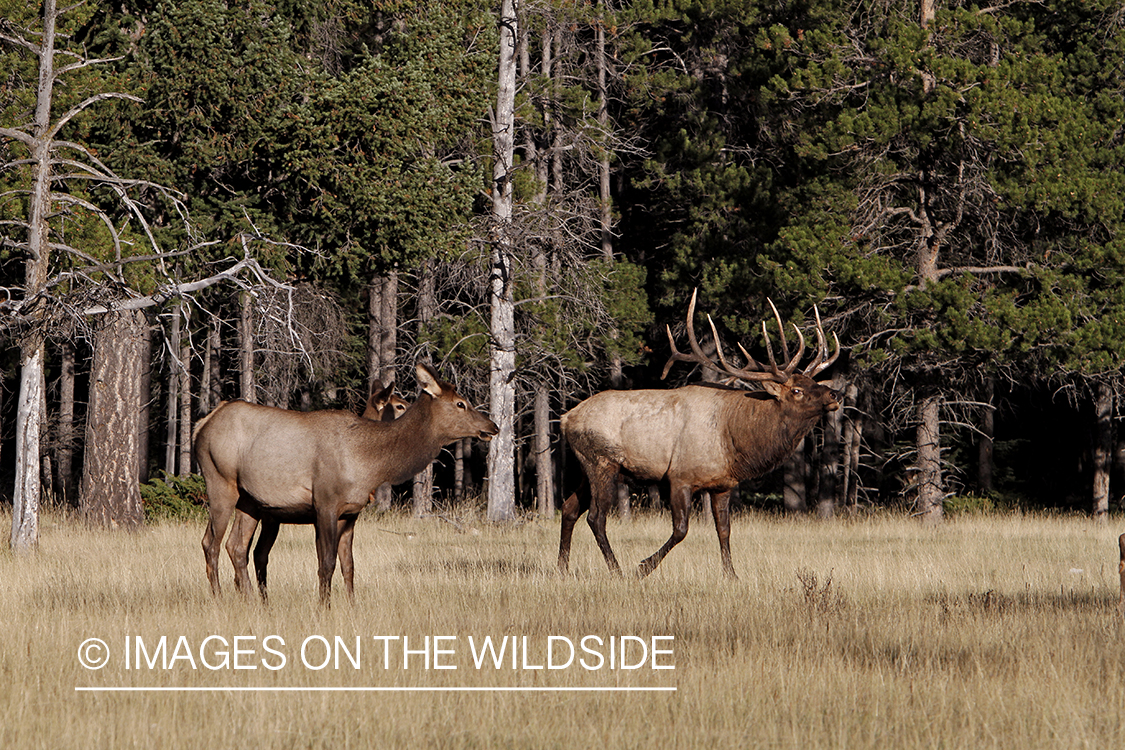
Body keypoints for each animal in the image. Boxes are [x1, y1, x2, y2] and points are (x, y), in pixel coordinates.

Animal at [193, 362, 497, 602]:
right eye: (460, 403)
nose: (492, 426)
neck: (369, 462)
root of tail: (202, 424)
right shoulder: (325, 503)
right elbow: (325, 563)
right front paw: (323, 607)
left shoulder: (351, 512)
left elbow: (349, 565)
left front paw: (351, 605)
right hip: (220, 482)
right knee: (211, 543)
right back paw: (219, 599)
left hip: (251, 501)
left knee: (237, 546)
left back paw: (251, 601)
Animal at [558, 292, 841, 580]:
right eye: (796, 390)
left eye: (814, 383)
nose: (834, 394)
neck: (736, 442)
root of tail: (566, 419)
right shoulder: (679, 476)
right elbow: (681, 530)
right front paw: (644, 566)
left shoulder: (723, 484)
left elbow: (724, 530)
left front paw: (731, 574)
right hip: (602, 462)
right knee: (596, 517)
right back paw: (616, 570)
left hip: (586, 468)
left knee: (569, 508)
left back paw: (562, 567)